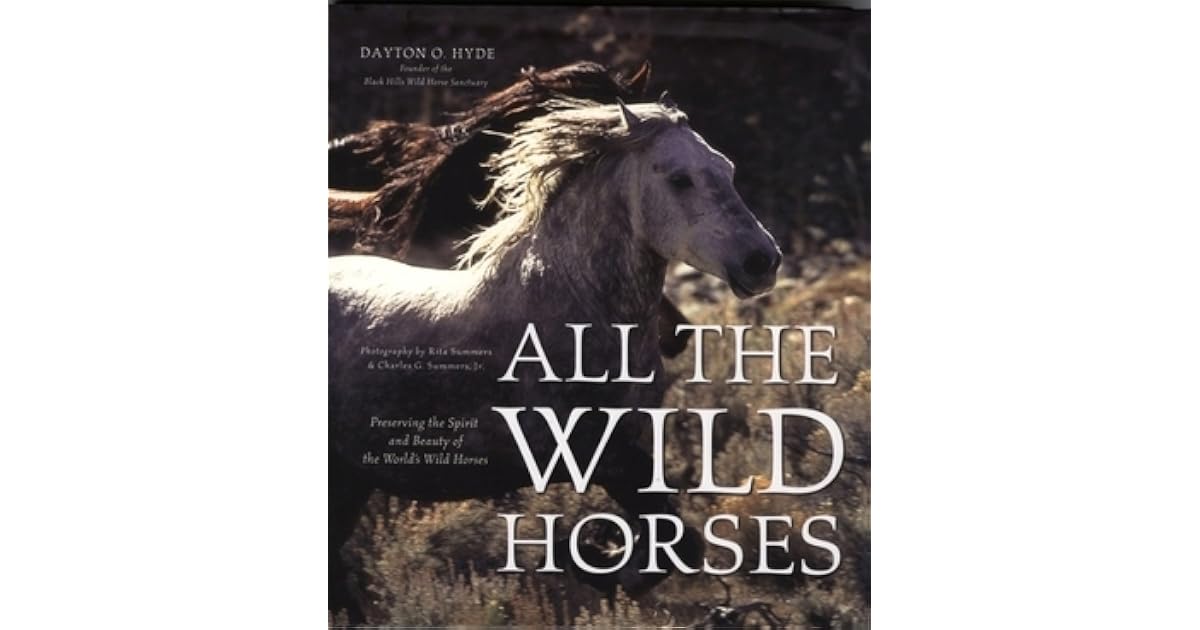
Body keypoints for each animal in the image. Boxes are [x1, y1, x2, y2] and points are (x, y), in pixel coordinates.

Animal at [328, 94, 782, 623]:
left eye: (726, 168)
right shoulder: (591, 454)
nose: (762, 261)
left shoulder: (632, 446)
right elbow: (678, 540)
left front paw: (598, 558)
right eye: (679, 178)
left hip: (351, 481)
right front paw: (593, 559)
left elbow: (675, 538)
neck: (576, 308)